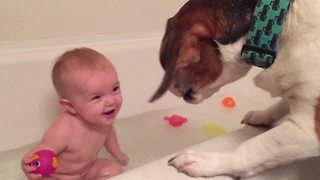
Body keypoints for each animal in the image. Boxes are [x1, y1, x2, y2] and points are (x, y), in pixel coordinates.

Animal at [149, 0, 320, 178]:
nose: (170, 89)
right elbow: (282, 103)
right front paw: (263, 115)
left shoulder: (306, 128)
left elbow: (252, 148)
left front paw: (208, 161)